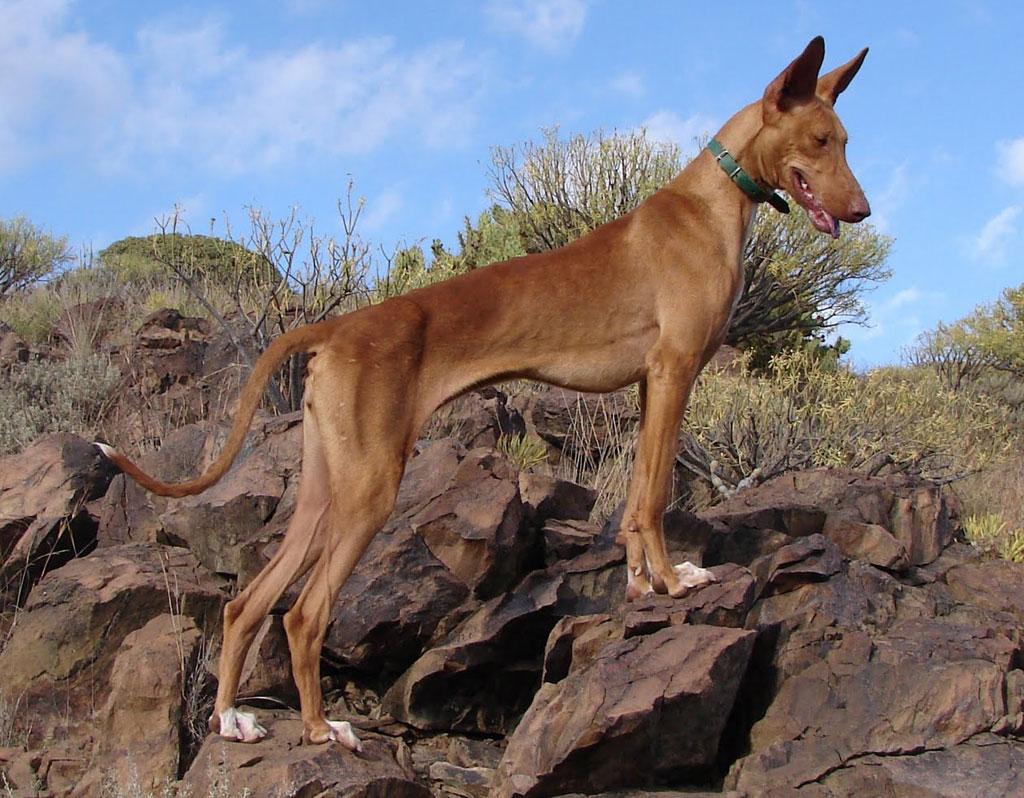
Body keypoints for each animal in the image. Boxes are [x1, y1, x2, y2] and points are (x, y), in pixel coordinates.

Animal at [97, 35, 872, 749]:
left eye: (846, 141)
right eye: (819, 141)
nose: (862, 210)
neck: (711, 202)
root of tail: (339, 324)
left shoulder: (650, 385)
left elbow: (634, 500)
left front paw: (644, 584)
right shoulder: (676, 371)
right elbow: (655, 496)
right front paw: (676, 586)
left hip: (323, 487)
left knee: (248, 602)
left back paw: (231, 717)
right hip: (371, 486)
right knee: (304, 612)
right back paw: (322, 730)